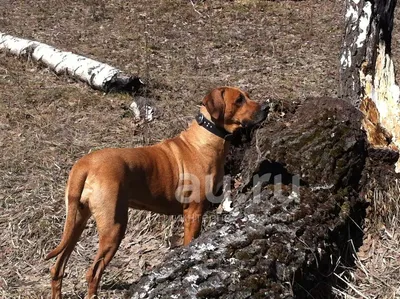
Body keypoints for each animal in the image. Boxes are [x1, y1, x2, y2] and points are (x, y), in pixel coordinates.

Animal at [46, 86, 266, 298]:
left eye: (247, 96)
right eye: (239, 100)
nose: (267, 107)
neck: (206, 138)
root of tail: (85, 164)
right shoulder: (193, 212)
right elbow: (189, 243)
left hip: (76, 220)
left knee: (57, 268)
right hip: (114, 226)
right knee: (93, 272)